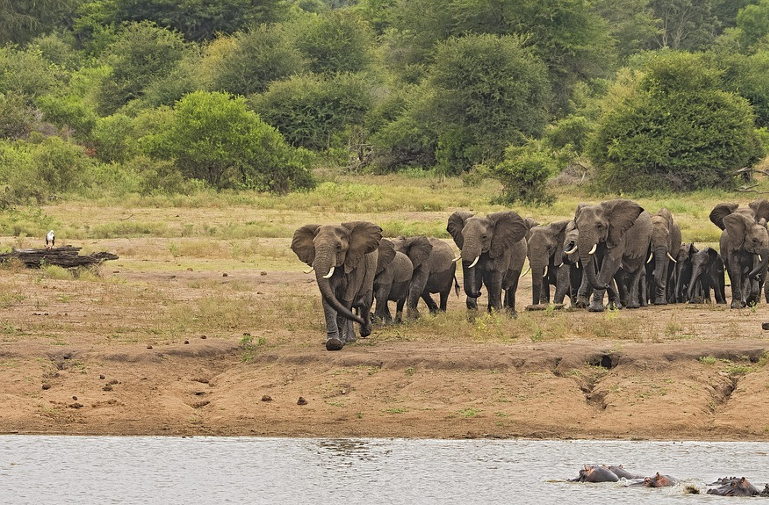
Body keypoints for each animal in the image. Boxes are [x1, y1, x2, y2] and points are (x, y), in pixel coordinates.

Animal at [291, 221, 385, 351]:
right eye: (314, 246)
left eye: (338, 247)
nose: (361, 322)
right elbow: (329, 300)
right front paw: (333, 343)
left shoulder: (355, 264)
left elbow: (346, 299)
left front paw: (338, 343)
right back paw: (351, 339)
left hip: (370, 273)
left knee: (365, 302)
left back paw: (364, 332)